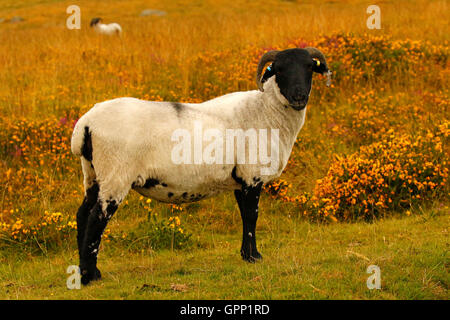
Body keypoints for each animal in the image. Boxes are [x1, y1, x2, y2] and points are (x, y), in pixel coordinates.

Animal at [70, 46, 330, 284]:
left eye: (309, 66)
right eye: (279, 69)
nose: (299, 97)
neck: (266, 111)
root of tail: (86, 123)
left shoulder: (240, 180)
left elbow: (244, 215)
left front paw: (246, 254)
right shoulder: (252, 176)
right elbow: (252, 216)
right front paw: (254, 256)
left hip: (92, 173)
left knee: (82, 214)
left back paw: (84, 272)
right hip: (115, 174)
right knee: (96, 217)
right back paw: (92, 275)